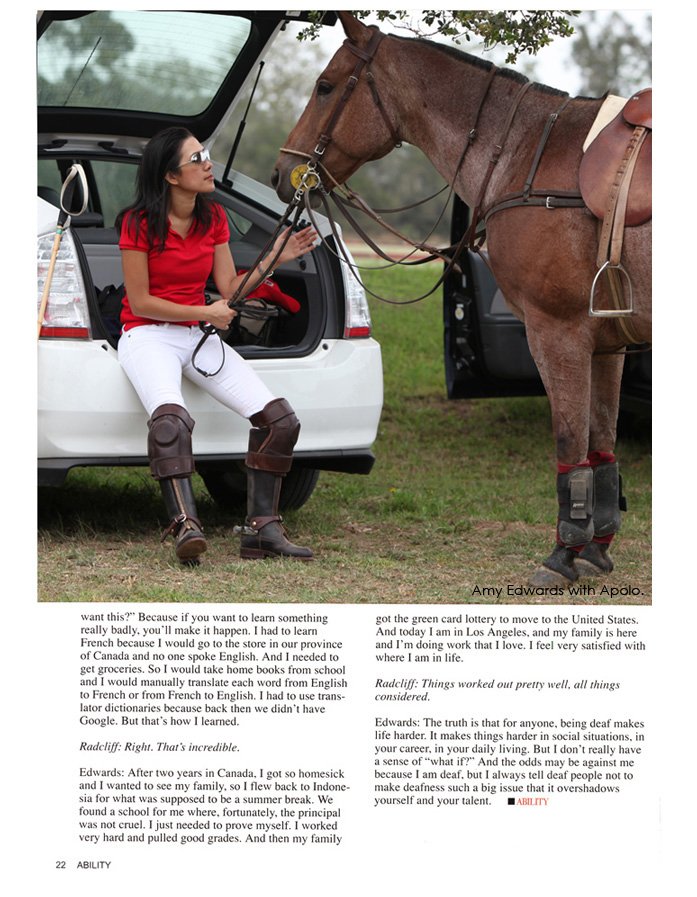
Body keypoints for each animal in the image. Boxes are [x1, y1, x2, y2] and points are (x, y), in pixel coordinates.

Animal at [272, 12, 651, 588]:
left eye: (326, 87)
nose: (281, 172)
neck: (532, 152)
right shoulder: (608, 344)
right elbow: (601, 440)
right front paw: (597, 548)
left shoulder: (558, 332)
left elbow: (569, 440)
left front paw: (563, 554)